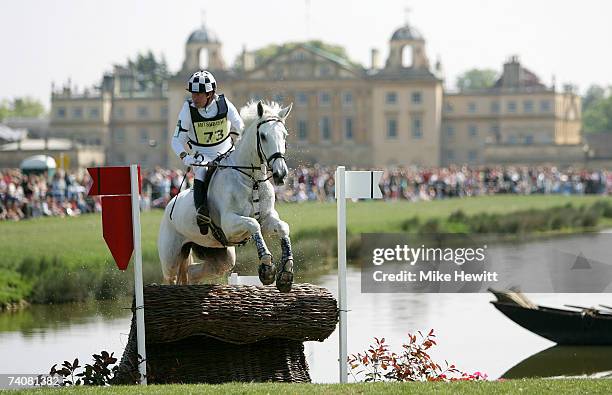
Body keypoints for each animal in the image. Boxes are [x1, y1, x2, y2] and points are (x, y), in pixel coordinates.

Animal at [159, 101, 296, 294]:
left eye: (284, 135)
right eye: (263, 136)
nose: (280, 174)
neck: (252, 180)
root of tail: (168, 205)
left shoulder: (267, 219)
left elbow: (283, 227)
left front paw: (286, 273)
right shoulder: (229, 224)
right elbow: (253, 225)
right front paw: (267, 268)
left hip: (219, 254)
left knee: (193, 272)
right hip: (171, 257)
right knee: (170, 277)